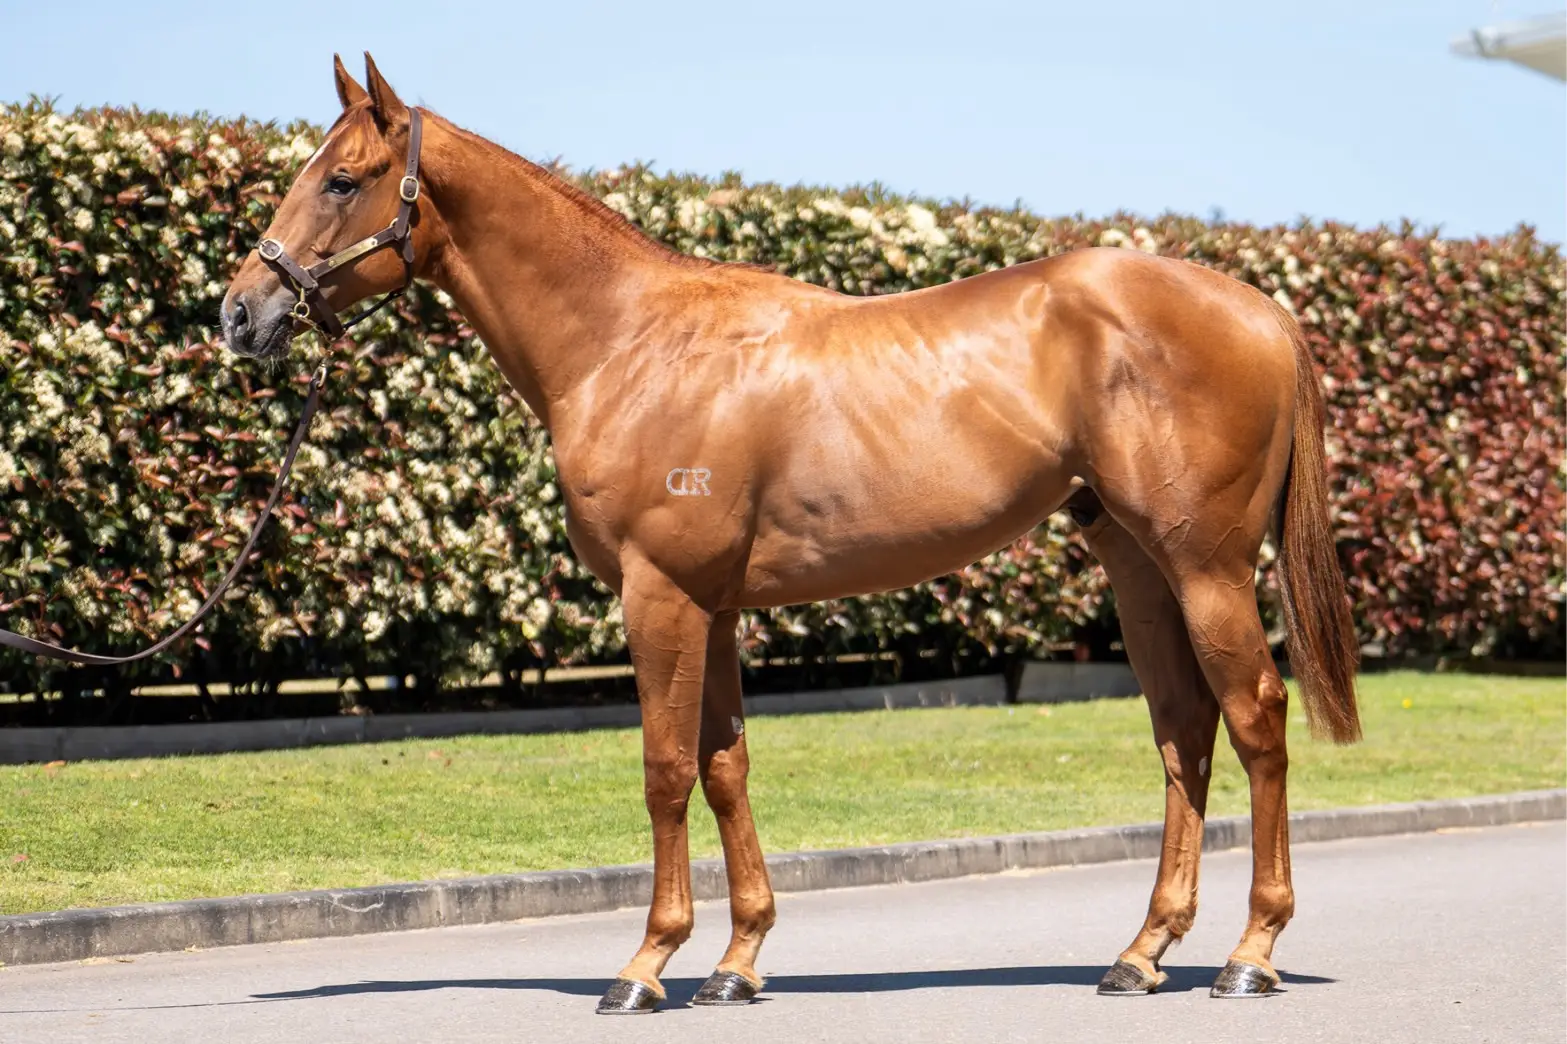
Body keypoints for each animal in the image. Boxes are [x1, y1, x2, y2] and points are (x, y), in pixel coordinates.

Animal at [220, 53, 1361, 1013]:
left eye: (342, 180)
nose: (240, 313)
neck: (631, 343)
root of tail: (1259, 307)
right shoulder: (714, 606)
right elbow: (725, 766)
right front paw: (736, 963)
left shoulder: (661, 594)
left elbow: (664, 769)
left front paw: (645, 965)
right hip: (1136, 564)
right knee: (1183, 729)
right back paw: (1142, 953)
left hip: (1204, 568)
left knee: (1255, 719)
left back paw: (1250, 955)